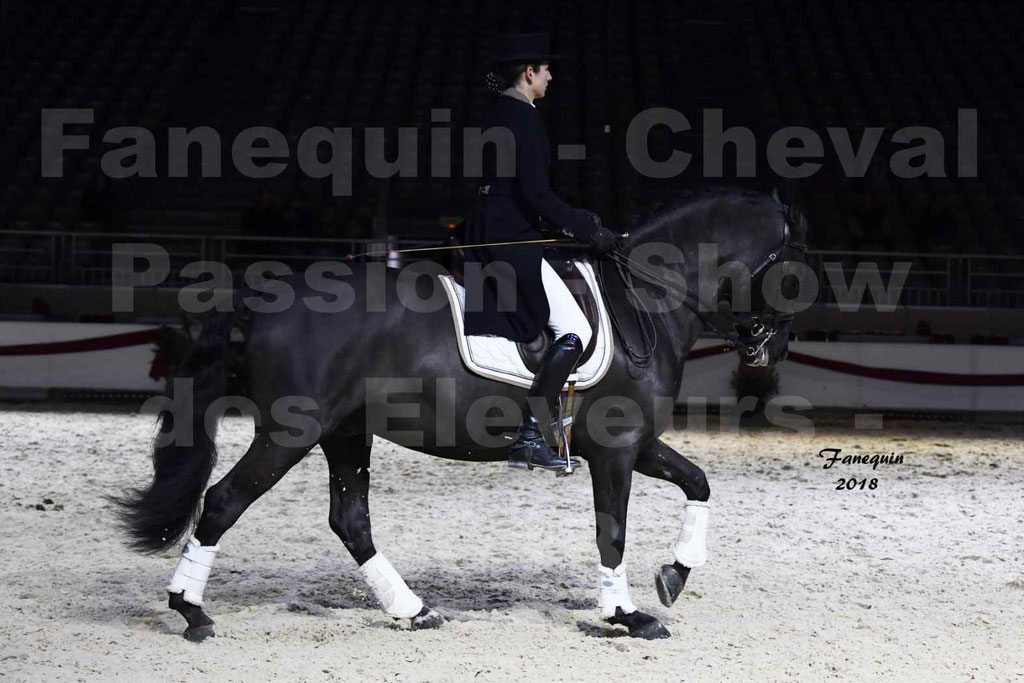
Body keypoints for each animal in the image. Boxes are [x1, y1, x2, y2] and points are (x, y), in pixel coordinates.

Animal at [113, 186, 810, 641]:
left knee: (350, 520)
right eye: (797, 270)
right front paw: (626, 615)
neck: (645, 297)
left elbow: (699, 481)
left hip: (345, 432)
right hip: (291, 431)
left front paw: (675, 574)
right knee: (224, 502)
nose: (768, 351)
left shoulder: (634, 443)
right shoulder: (615, 448)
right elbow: (611, 532)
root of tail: (260, 296)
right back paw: (191, 612)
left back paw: (412, 610)